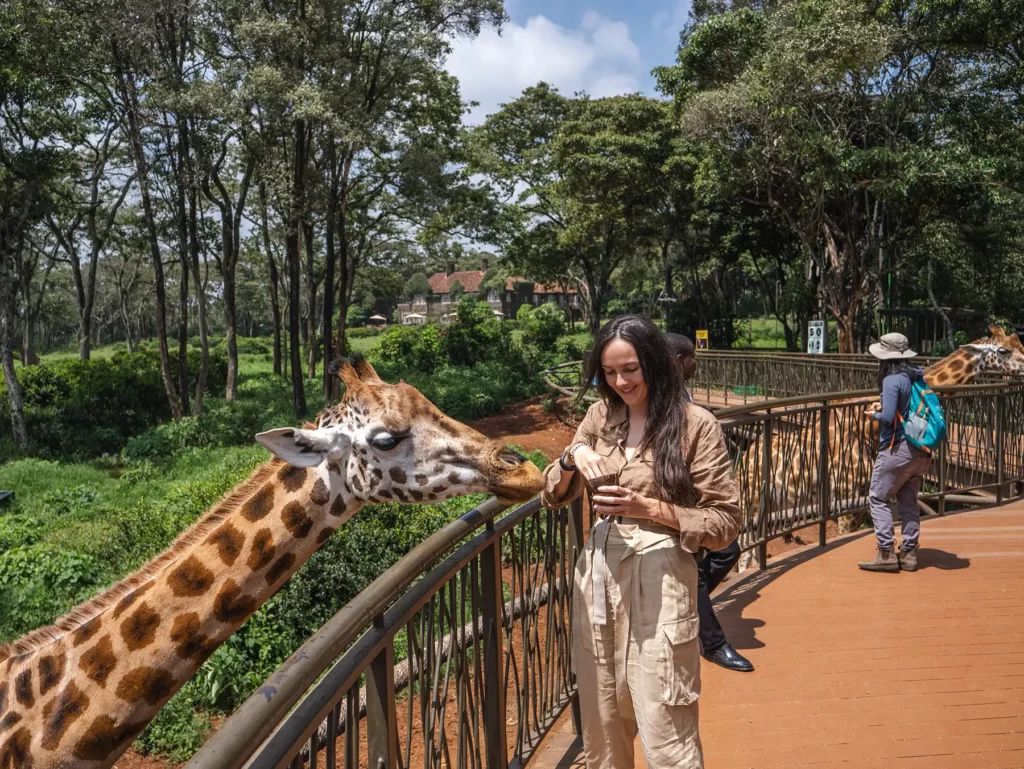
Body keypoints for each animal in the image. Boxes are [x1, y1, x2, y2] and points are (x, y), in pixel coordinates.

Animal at [737, 327, 1024, 569]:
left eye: (1018, 343)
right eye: (1003, 350)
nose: (1023, 367)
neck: (868, 428)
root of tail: (744, 460)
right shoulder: (846, 494)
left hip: (769, 504)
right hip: (752, 503)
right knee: (743, 550)